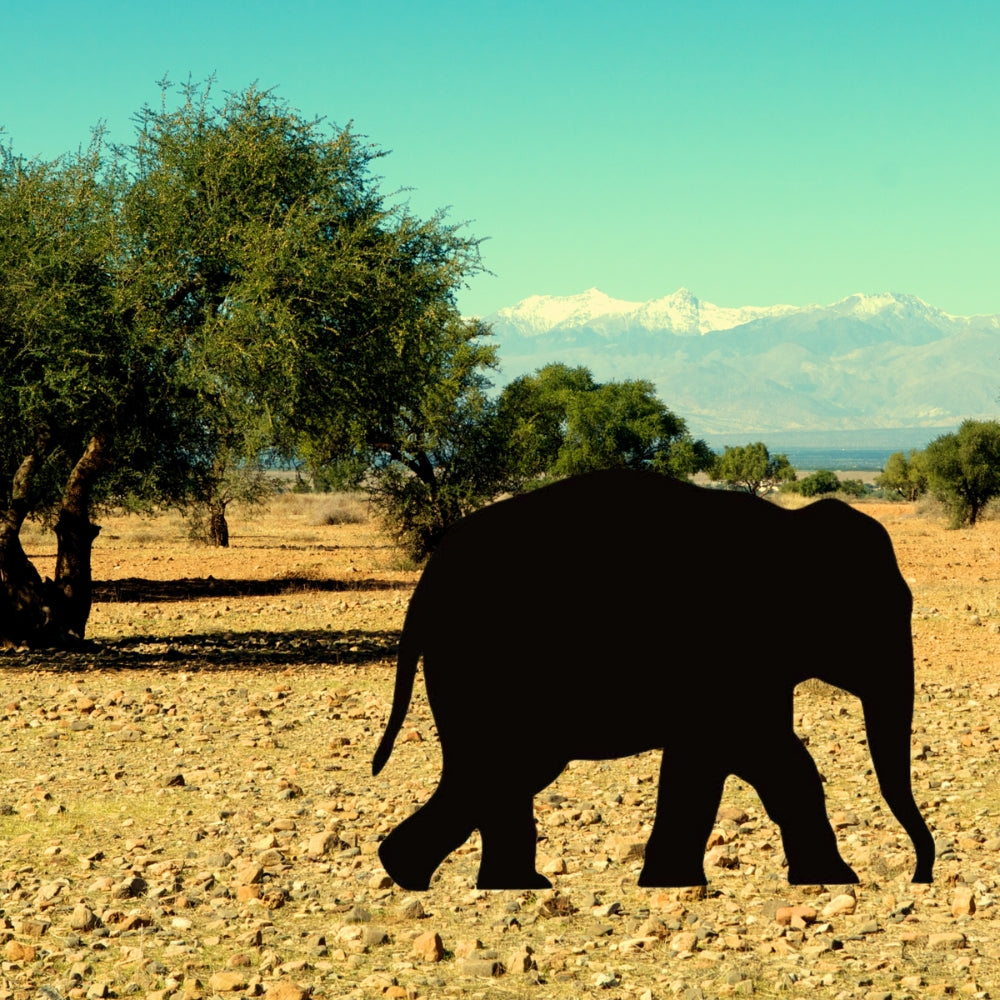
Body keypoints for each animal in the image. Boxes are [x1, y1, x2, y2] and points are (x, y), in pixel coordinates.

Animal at [372, 468, 935, 891]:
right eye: (876, 613)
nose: (920, 875)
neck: (791, 531)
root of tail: (424, 587)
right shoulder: (728, 651)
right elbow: (760, 756)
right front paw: (838, 879)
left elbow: (731, 758)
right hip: (483, 665)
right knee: (498, 768)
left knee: (498, 773)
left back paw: (470, 881)